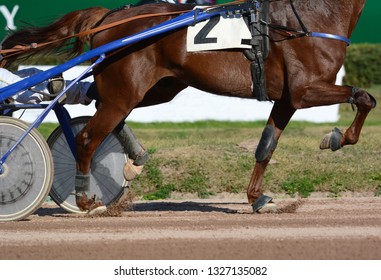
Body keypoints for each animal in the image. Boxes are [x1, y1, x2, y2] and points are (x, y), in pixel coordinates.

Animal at [1, 0, 376, 212]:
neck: (308, 18)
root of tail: (110, 16)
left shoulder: (286, 99)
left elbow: (265, 147)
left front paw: (256, 197)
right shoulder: (304, 90)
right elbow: (364, 96)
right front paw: (337, 138)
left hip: (155, 87)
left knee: (97, 102)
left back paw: (134, 157)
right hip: (128, 88)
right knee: (88, 137)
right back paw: (84, 199)